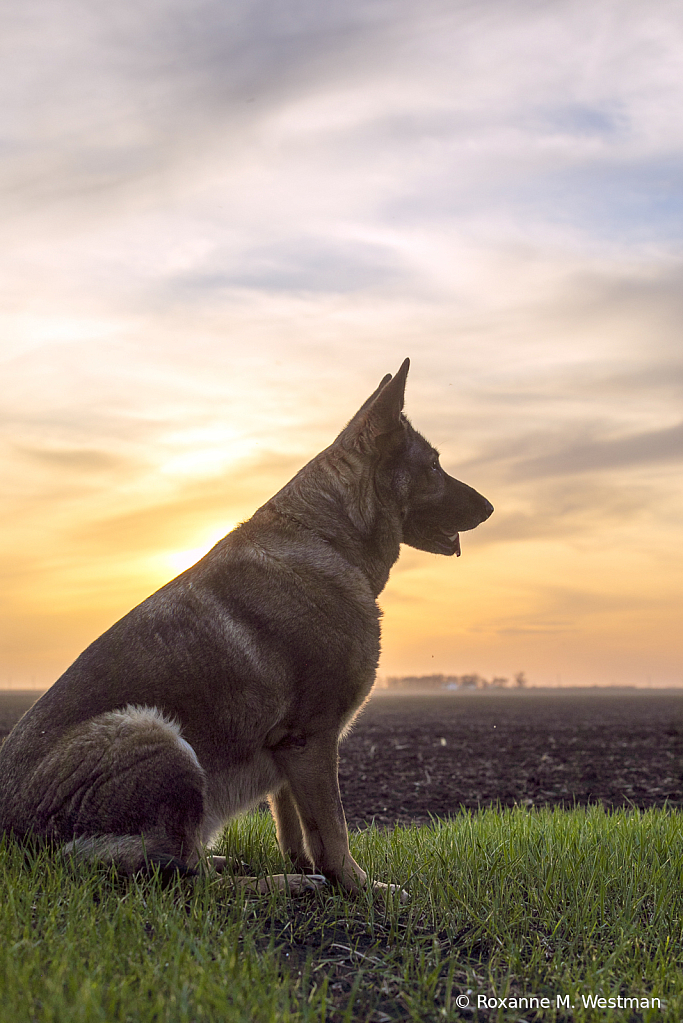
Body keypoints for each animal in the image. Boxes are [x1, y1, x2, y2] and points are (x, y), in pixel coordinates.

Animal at [0, 360, 492, 896]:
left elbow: (296, 827)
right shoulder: (313, 740)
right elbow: (334, 830)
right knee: (186, 882)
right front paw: (359, 889)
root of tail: (13, 843)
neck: (325, 536)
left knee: (183, 863)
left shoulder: (290, 751)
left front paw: (315, 869)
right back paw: (280, 885)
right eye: (434, 466)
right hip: (156, 733)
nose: (490, 508)